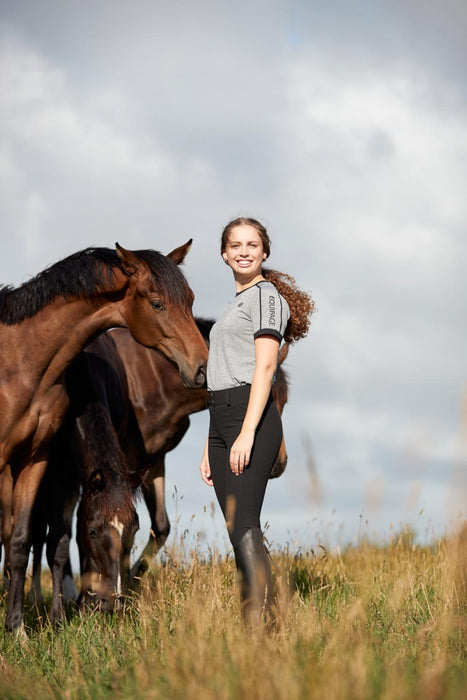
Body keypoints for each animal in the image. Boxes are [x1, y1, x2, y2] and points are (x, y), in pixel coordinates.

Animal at [0, 243, 208, 632]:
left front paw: (21, 628)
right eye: (157, 303)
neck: (22, 358)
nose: (202, 367)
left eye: (190, 300)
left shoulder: (38, 460)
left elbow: (26, 540)